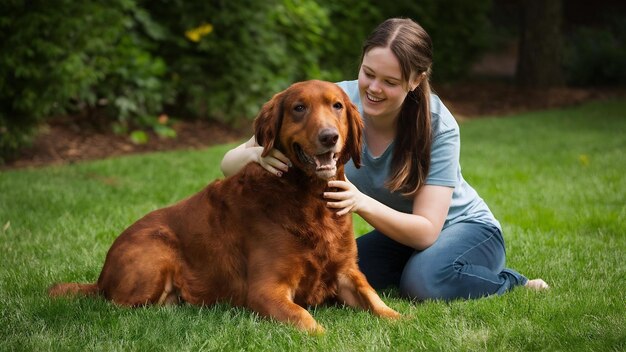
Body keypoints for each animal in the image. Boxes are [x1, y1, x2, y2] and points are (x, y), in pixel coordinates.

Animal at [50, 79, 400, 332]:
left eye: (337, 106)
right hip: (156, 251)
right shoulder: (265, 290)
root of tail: (101, 278)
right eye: (299, 108)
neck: (307, 196)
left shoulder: (346, 271)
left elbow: (374, 298)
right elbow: (307, 320)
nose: (329, 137)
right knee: (115, 307)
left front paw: (401, 319)